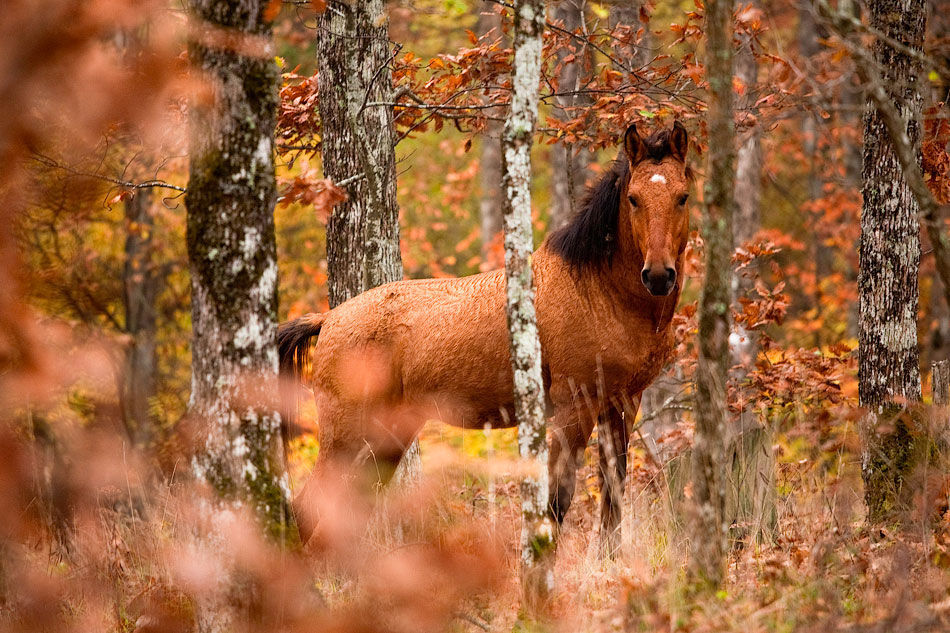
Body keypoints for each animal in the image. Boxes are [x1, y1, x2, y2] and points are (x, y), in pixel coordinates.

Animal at [278, 121, 692, 556]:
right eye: (633, 199)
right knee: (308, 510)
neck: (597, 291)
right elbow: (556, 501)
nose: (659, 275)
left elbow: (613, 495)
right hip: (346, 437)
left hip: (386, 438)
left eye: (682, 196)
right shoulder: (573, 406)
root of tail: (328, 318)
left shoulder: (622, 403)